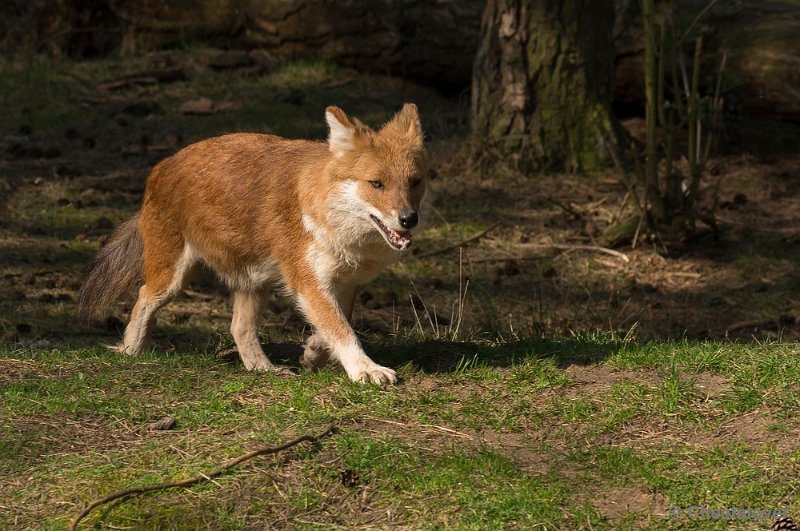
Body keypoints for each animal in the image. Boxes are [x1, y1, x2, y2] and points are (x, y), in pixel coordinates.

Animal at [79, 105, 428, 386]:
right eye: (376, 184)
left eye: (414, 182)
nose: (409, 219)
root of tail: (162, 164)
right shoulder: (308, 282)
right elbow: (342, 330)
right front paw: (365, 369)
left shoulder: (344, 283)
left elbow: (337, 324)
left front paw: (314, 353)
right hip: (173, 277)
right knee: (142, 297)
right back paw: (130, 350)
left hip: (255, 281)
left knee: (239, 328)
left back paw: (264, 369)